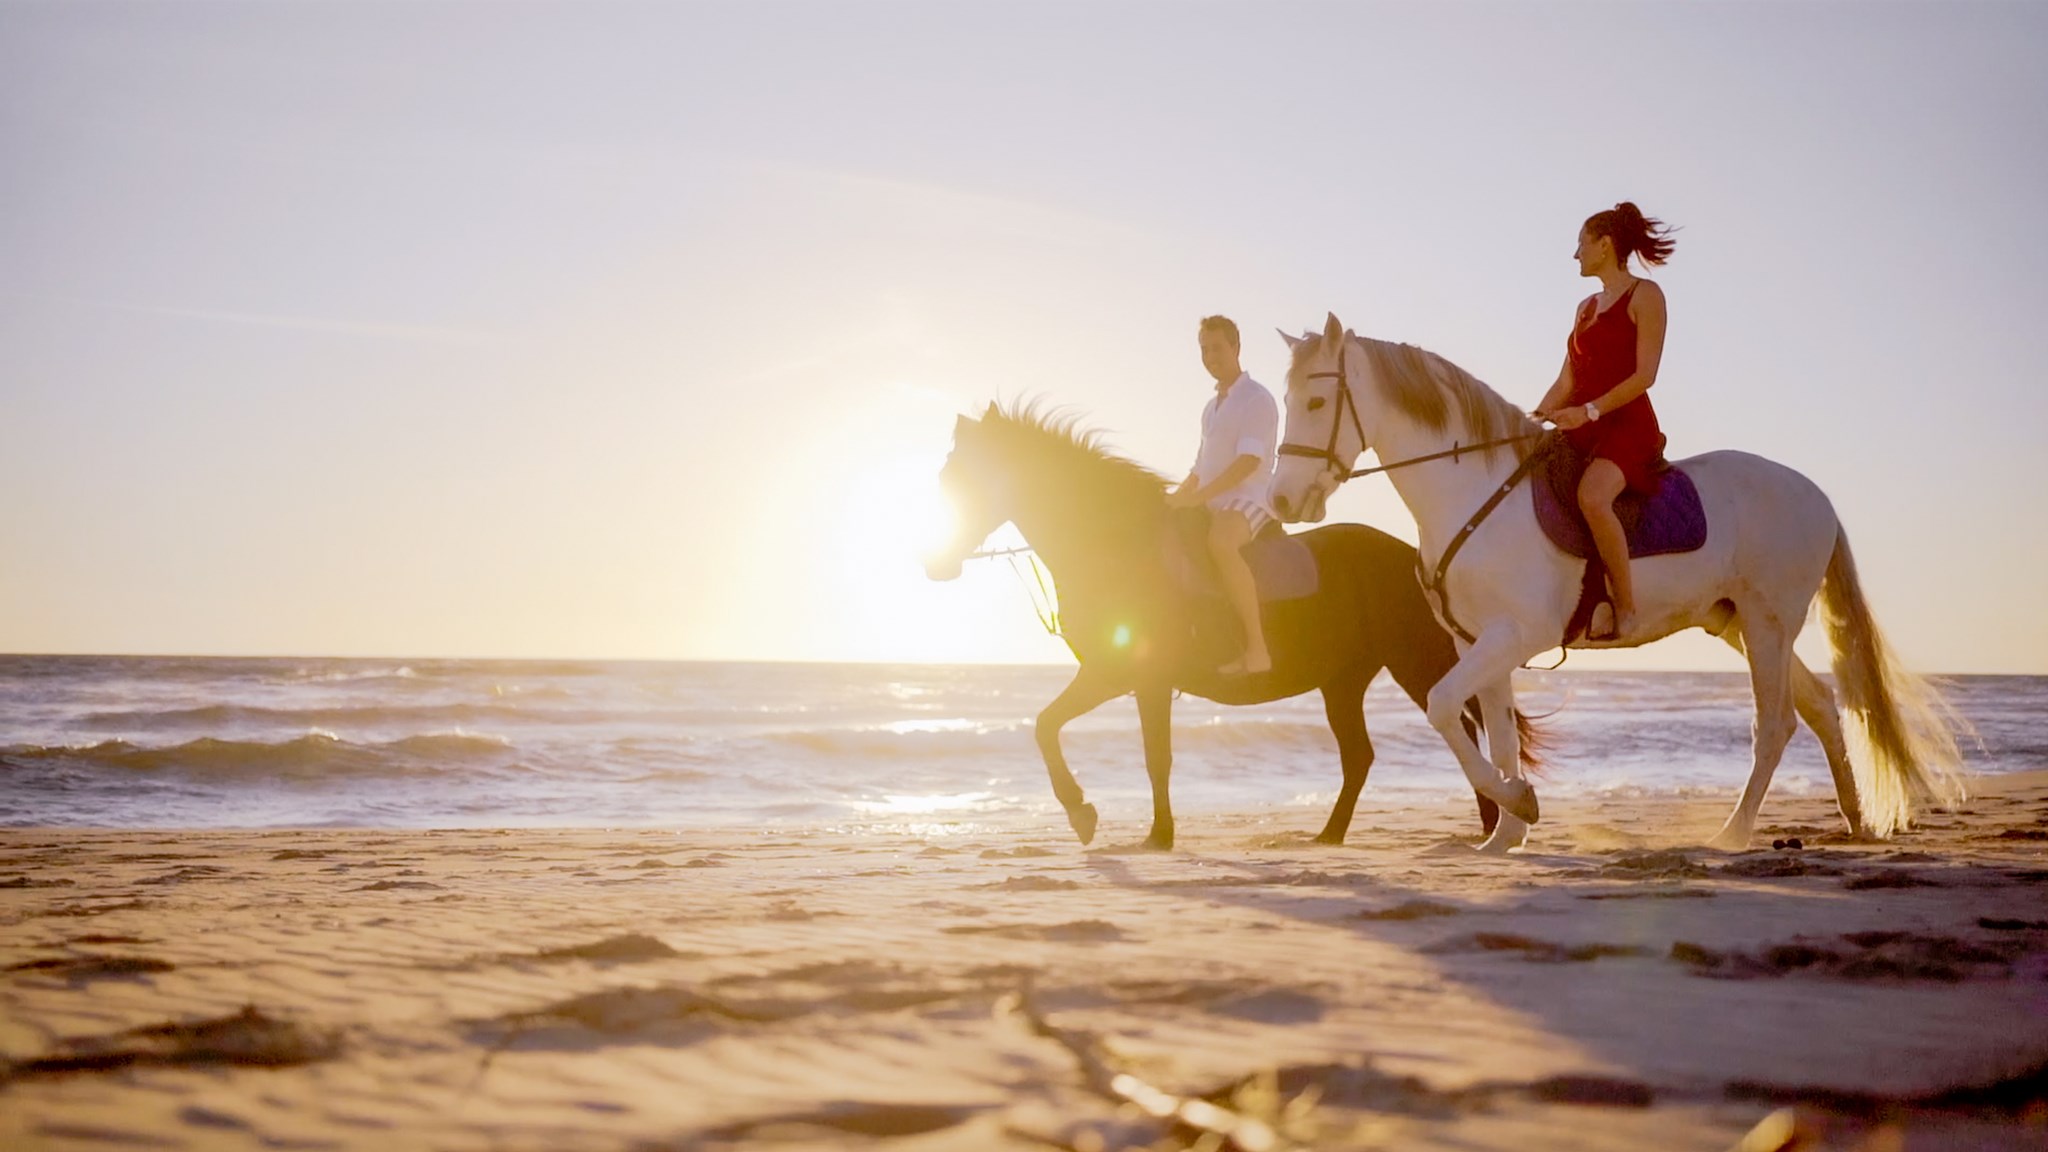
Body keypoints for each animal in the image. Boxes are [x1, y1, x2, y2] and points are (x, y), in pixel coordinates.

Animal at [921, 401, 1531, 844]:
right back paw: (1332, 835)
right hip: (1343, 682)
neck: (1117, 549)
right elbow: (1047, 725)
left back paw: (1490, 823)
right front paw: (1085, 815)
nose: (934, 564)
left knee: (1463, 726)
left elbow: (1151, 755)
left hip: (1413, 663)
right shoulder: (1112, 675)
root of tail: (1416, 556)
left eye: (966, 479)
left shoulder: (1140, 678)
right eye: (946, 478)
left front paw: (1151, 834)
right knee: (1363, 754)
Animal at [1269, 309, 1957, 848]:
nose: (1281, 501)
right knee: (1819, 708)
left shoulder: (1515, 636)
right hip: (1742, 625)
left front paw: (1517, 804)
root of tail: (1816, 495)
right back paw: (1855, 821)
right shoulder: (1477, 642)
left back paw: (1733, 834)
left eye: (1316, 402)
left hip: (1766, 626)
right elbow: (1497, 734)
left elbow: (1444, 709)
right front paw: (1507, 833)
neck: (1473, 495)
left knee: (1776, 723)